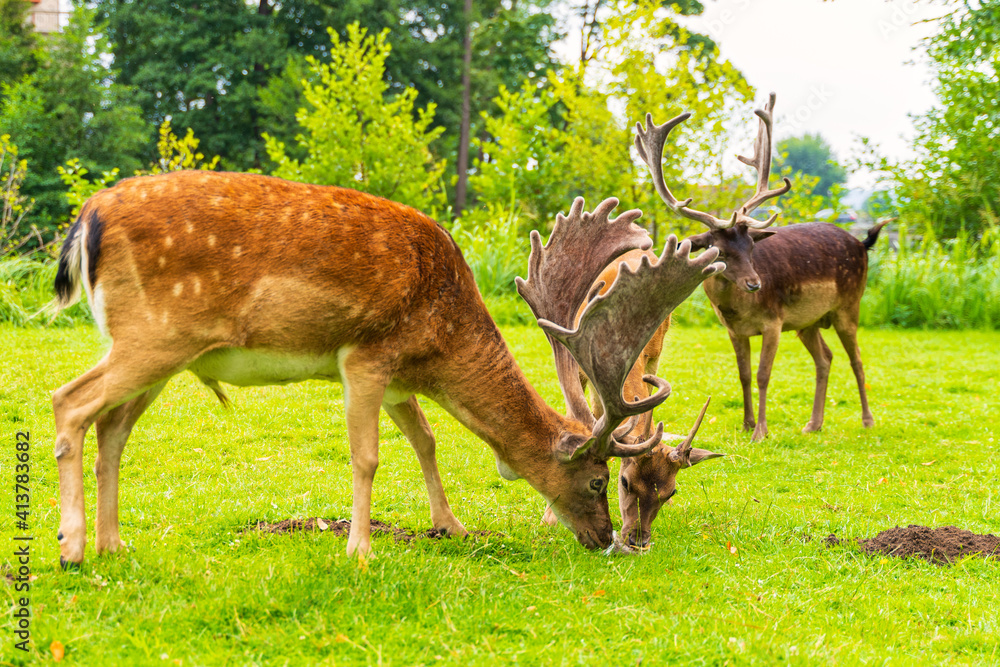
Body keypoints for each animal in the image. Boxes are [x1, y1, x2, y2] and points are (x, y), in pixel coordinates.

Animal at [50, 170, 724, 568]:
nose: (608, 539)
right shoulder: (366, 355)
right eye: (600, 482)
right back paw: (72, 548)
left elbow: (425, 440)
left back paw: (112, 543)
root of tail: (88, 220)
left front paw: (449, 526)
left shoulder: (400, 376)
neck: (440, 339)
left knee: (112, 428)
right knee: (69, 401)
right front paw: (360, 548)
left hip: (162, 352)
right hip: (152, 335)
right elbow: (368, 455)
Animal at [636, 91, 888, 446]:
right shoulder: (734, 330)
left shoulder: (774, 322)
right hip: (808, 322)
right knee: (825, 358)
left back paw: (867, 420)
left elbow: (763, 374)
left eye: (752, 247)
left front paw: (760, 431)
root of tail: (862, 243)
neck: (739, 310)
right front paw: (745, 423)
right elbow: (743, 374)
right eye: (720, 250)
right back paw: (814, 424)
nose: (755, 283)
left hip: (849, 306)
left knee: (857, 358)